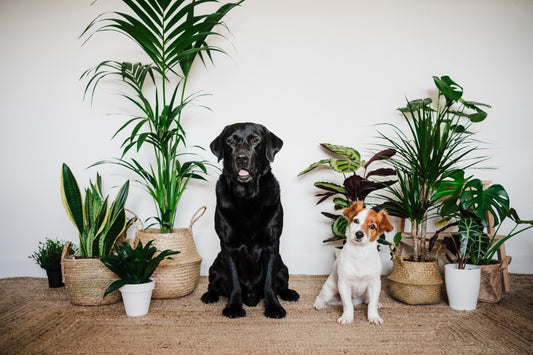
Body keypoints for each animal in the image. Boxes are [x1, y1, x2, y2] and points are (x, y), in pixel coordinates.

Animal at [201, 122, 300, 320]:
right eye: (230, 141)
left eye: (255, 140)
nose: (241, 158)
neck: (248, 199)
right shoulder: (227, 246)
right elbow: (234, 281)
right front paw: (233, 306)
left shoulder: (272, 245)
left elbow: (269, 282)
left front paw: (274, 307)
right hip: (215, 266)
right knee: (213, 283)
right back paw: (210, 295)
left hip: (283, 266)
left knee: (281, 283)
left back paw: (289, 293)